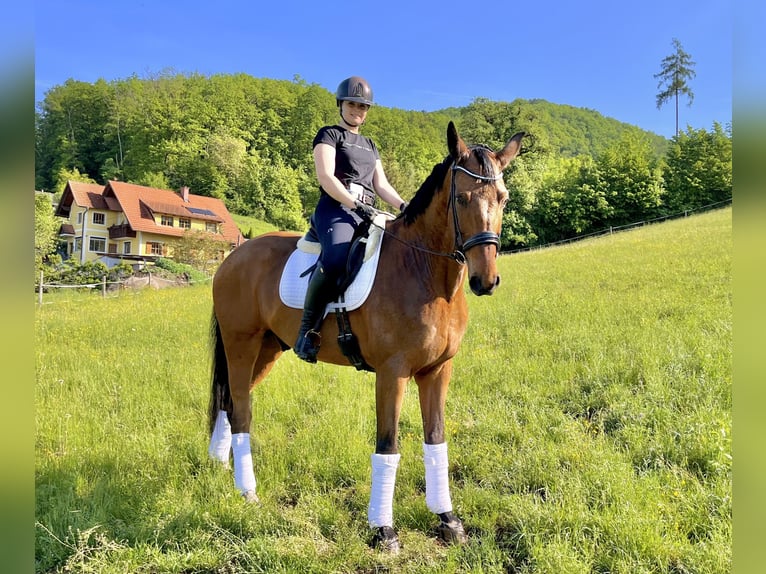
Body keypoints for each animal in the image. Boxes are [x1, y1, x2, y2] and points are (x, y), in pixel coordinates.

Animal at [207, 122, 524, 552]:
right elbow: (387, 445)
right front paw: (383, 530)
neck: (422, 270)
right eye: (461, 197)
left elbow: (436, 440)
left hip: (268, 349)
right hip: (242, 343)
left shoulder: (438, 371)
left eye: (503, 198)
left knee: (228, 401)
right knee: (241, 408)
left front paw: (448, 520)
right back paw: (247, 491)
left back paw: (218, 465)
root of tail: (231, 259)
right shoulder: (393, 373)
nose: (485, 281)